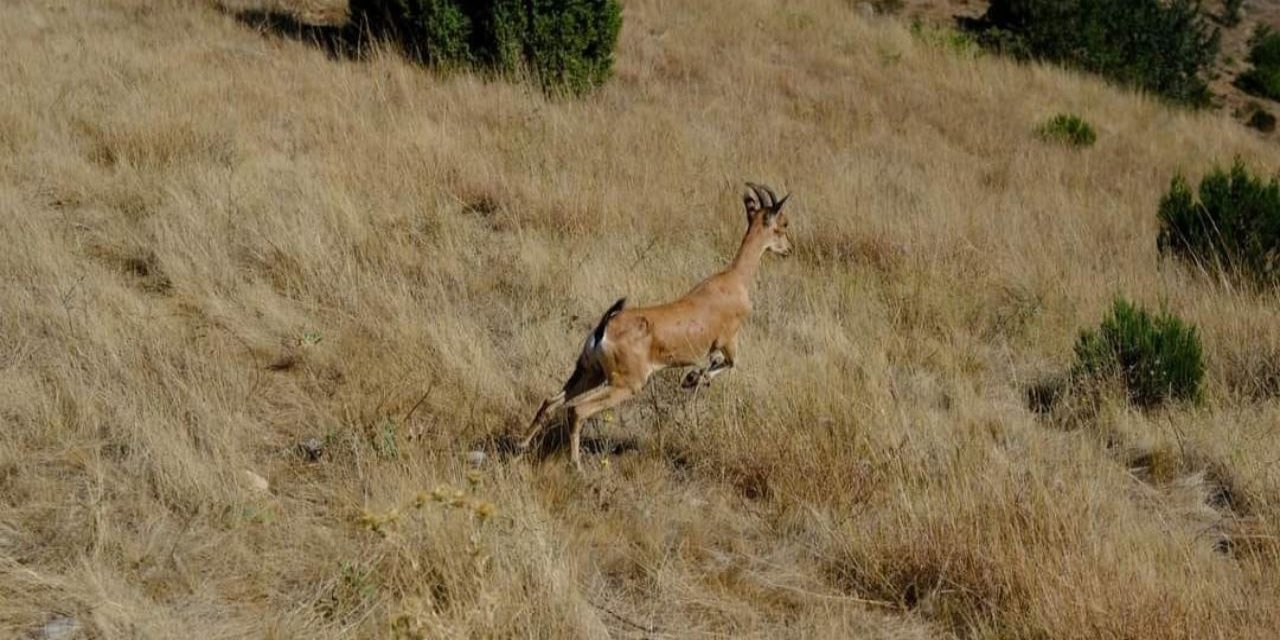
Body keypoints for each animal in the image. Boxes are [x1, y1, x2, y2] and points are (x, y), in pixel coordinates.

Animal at [519, 183, 788, 468]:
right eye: (782, 225)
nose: (788, 249)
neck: (734, 281)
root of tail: (604, 330)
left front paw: (692, 378)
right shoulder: (728, 342)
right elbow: (729, 363)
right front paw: (693, 378)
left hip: (590, 374)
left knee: (550, 402)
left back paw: (521, 445)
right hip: (624, 385)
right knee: (577, 410)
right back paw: (577, 466)